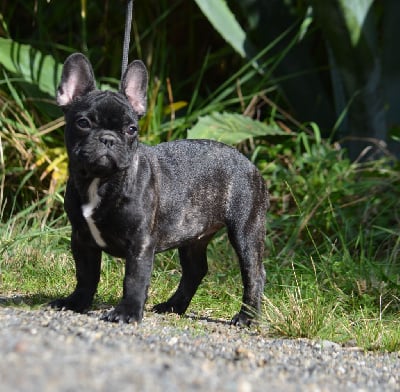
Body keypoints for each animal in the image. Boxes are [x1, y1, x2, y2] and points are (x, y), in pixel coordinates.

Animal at [50, 53, 268, 326]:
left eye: (131, 129)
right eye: (83, 123)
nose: (108, 138)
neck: (101, 181)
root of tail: (249, 163)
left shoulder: (140, 243)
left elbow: (134, 279)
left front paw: (127, 312)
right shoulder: (81, 238)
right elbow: (85, 274)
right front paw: (76, 302)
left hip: (245, 231)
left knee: (254, 273)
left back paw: (247, 317)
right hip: (192, 235)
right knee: (195, 270)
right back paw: (174, 306)